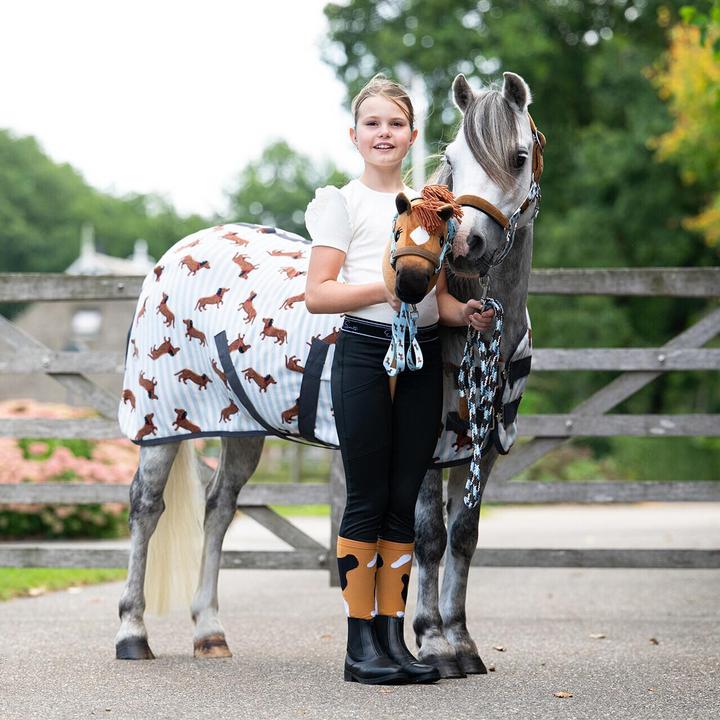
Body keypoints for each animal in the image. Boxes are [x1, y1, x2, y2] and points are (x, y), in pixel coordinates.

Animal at [114, 188, 458, 660]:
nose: (411, 283)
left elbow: (459, 536)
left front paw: (457, 646)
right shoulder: (429, 452)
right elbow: (428, 537)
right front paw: (437, 645)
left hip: (243, 430)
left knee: (219, 506)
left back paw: (210, 631)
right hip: (160, 429)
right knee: (146, 507)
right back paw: (132, 633)